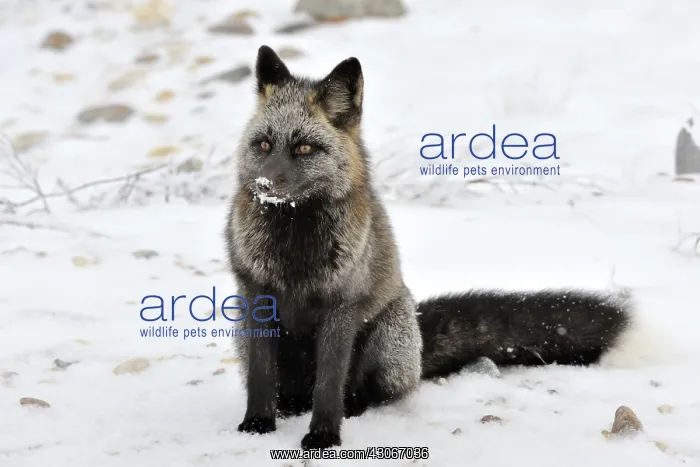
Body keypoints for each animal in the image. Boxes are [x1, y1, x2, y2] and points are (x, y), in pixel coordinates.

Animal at [224, 45, 632, 450]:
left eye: (304, 147)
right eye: (264, 144)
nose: (263, 185)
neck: (295, 252)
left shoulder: (342, 304)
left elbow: (329, 384)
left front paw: (324, 435)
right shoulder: (256, 296)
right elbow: (261, 377)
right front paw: (258, 423)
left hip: (389, 336)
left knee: (365, 392)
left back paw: (353, 406)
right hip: (242, 328)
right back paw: (290, 407)